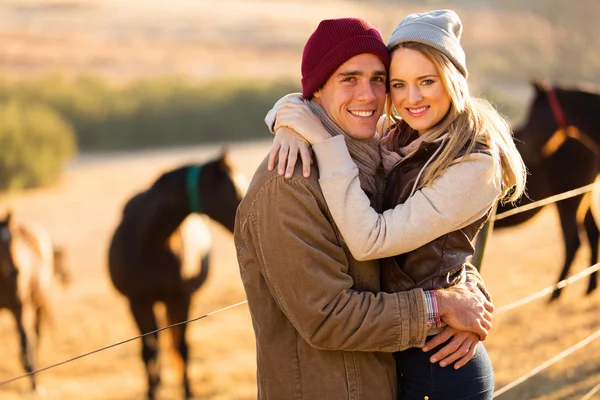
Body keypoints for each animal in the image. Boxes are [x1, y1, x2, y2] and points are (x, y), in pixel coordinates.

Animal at [0, 211, 68, 392]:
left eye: (14, 240)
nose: (15, 271)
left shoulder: (19, 308)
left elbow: (25, 340)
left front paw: (33, 378)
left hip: (38, 301)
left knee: (36, 334)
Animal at [108, 152, 246, 400]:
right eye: (232, 189)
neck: (150, 244)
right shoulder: (137, 303)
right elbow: (148, 351)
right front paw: (151, 392)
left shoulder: (181, 299)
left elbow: (182, 347)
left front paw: (188, 392)